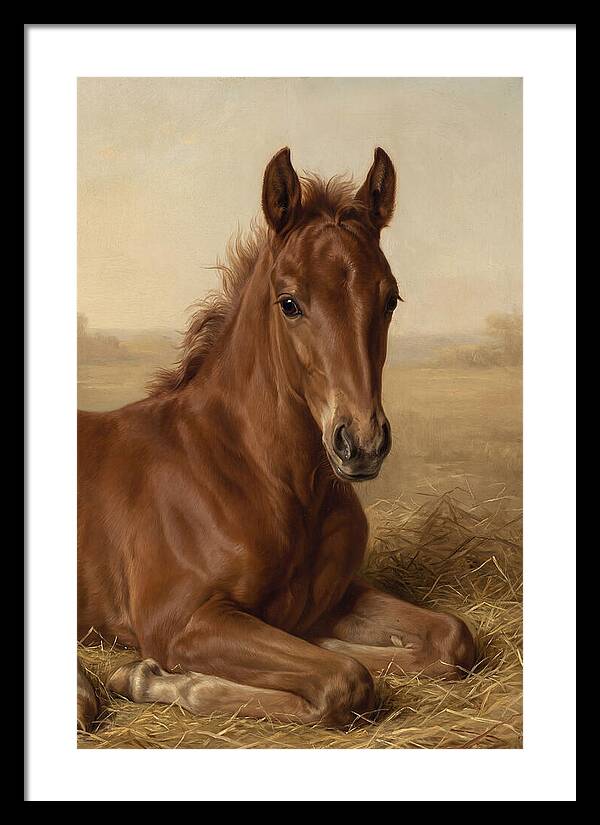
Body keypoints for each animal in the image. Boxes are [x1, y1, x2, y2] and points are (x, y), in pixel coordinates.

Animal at [77, 147, 476, 732]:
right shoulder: (180, 621)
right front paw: (148, 677)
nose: (362, 443)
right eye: (289, 303)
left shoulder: (334, 597)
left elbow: (450, 639)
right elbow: (344, 679)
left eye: (391, 299)